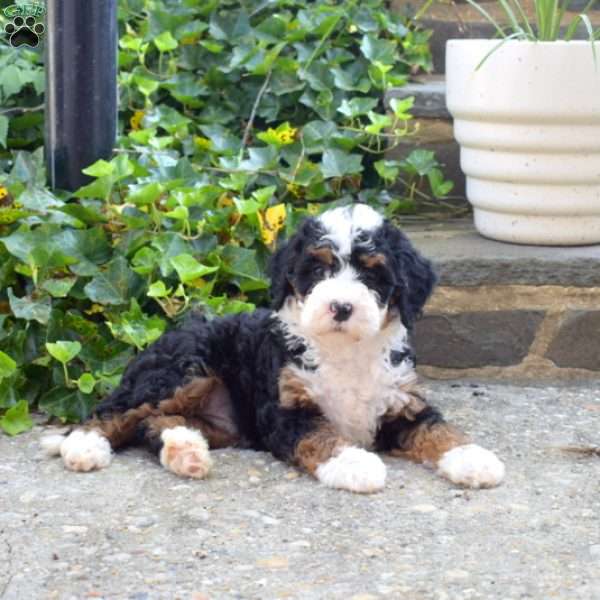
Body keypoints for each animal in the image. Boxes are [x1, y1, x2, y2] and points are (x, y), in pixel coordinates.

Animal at [42, 204, 504, 494]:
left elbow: (438, 429)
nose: (341, 306)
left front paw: (473, 459)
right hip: (181, 370)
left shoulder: (401, 402)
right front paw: (354, 464)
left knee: (155, 424)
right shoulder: (285, 409)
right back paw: (84, 448)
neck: (344, 350)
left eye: (373, 275)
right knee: (112, 412)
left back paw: (185, 452)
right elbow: (321, 436)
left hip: (220, 418)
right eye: (317, 269)